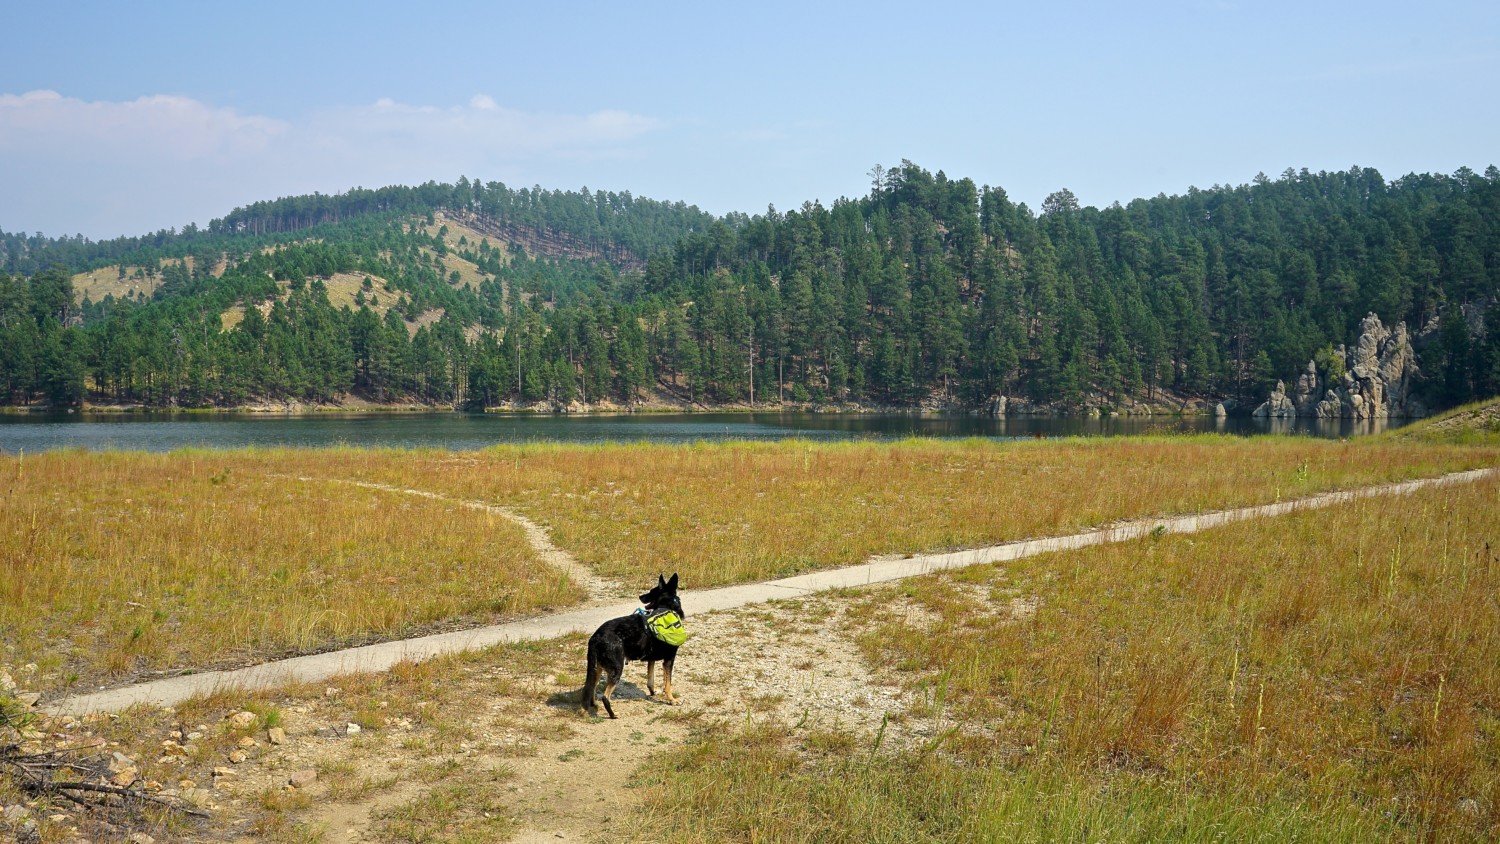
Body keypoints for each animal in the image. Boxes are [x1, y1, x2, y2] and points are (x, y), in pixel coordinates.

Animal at [579, 572, 687, 716]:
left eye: (651, 592)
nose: (640, 596)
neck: (666, 608)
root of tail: (596, 638)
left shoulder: (651, 659)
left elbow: (650, 680)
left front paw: (653, 692)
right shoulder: (669, 659)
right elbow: (667, 684)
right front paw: (672, 700)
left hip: (598, 668)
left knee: (592, 687)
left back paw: (594, 705)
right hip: (617, 668)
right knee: (605, 696)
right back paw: (613, 715)